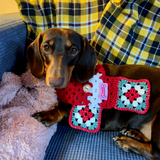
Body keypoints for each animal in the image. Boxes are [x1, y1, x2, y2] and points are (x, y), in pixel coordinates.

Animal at [26, 28, 159, 159]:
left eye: (74, 50)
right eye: (46, 47)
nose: (55, 82)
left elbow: (65, 108)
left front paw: (49, 114)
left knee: (155, 152)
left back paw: (126, 141)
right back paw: (133, 133)